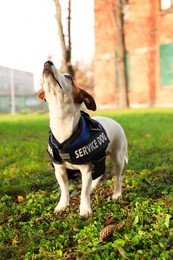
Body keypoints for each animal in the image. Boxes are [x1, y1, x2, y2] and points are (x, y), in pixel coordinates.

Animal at [38, 60, 127, 216]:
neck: (62, 122)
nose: (48, 62)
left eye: (69, 77)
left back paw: (116, 193)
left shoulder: (85, 170)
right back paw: (94, 186)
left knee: (118, 176)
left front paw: (85, 209)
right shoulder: (60, 171)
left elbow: (83, 193)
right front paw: (62, 205)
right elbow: (64, 190)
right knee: (99, 173)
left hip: (118, 158)